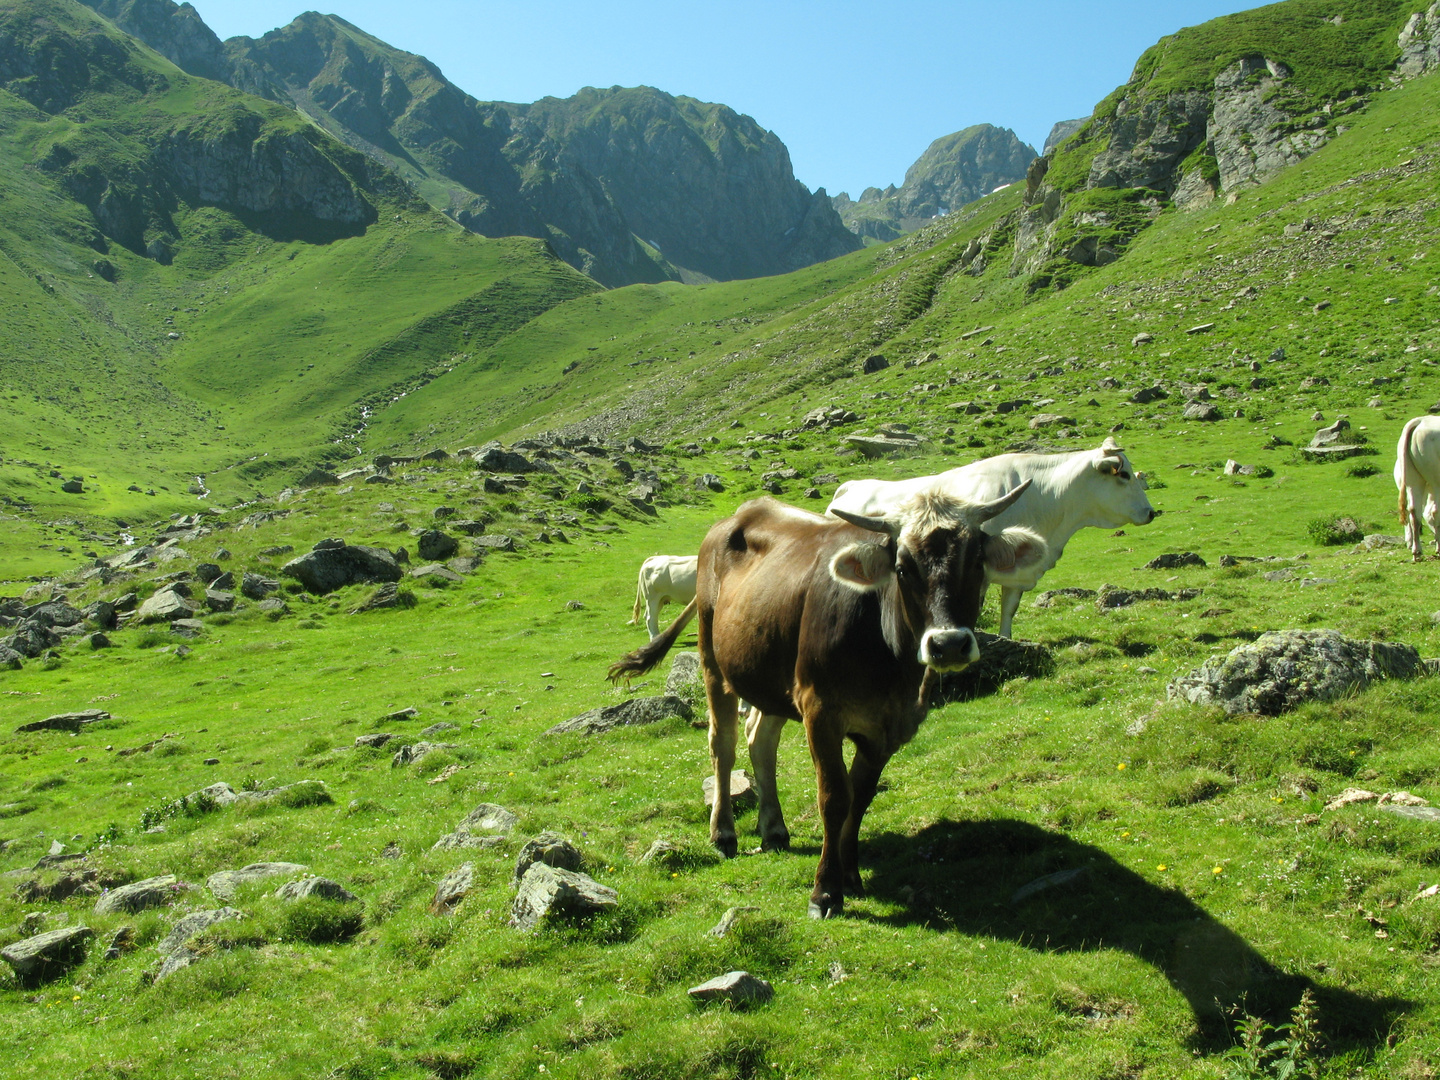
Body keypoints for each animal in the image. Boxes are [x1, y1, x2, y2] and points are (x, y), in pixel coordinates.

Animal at [607, 489, 1048, 921]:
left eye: (976, 561)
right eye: (902, 567)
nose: (948, 644)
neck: (887, 659)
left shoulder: (892, 726)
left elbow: (861, 797)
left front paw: (851, 875)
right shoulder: (820, 711)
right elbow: (835, 798)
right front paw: (825, 891)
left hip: (772, 676)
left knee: (760, 741)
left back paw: (774, 829)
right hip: (714, 659)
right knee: (723, 744)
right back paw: (724, 833)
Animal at [829, 440, 1152, 642]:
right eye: (1124, 474)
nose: (1151, 512)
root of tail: (851, 486)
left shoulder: (1017, 570)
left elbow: (1009, 608)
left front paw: (1006, 639)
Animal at [1393, 417, 1440, 561]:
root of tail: (1420, 420)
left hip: (1413, 480)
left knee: (1414, 511)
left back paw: (1417, 551)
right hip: (1436, 479)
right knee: (1434, 511)